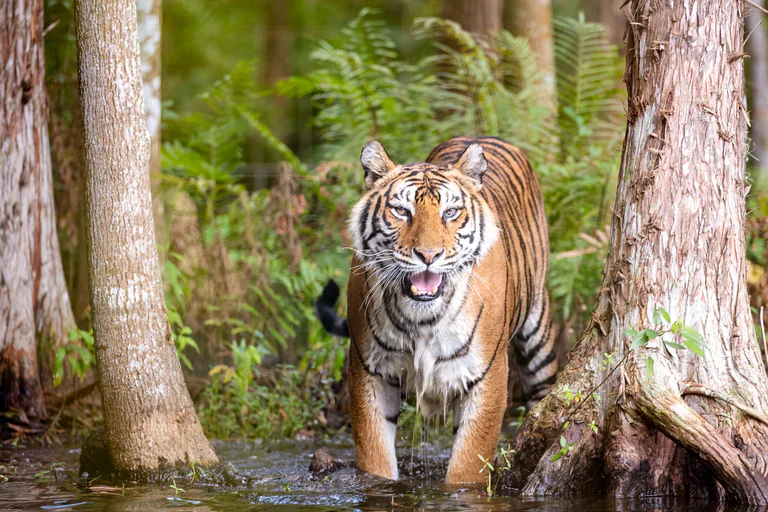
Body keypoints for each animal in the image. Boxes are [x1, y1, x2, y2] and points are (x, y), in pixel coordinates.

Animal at [316, 136, 558, 484]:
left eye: (451, 212)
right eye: (401, 211)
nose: (429, 255)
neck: (422, 318)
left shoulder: (487, 376)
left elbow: (467, 464)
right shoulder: (369, 370)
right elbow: (375, 455)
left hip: (539, 333)